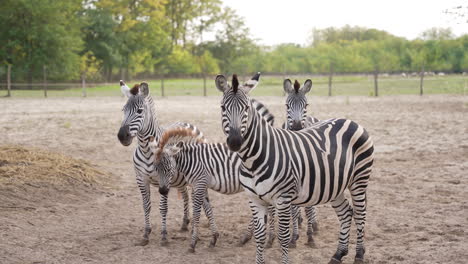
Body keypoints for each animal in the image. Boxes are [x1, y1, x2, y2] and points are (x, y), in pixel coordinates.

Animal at [116, 80, 206, 245]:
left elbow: (163, 208)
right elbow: (146, 206)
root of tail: (186, 122)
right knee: (185, 195)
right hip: (180, 179)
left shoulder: (162, 178)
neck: (146, 150)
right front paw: (146, 233)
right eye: (123, 110)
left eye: (139, 111)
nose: (122, 136)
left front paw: (164, 235)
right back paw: (185, 223)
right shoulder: (141, 179)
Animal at [215, 72, 372, 264]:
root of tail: (350, 120)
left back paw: (359, 255)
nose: (235, 141)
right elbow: (259, 236)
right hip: (336, 185)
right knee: (346, 213)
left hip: (359, 180)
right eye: (223, 107)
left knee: (360, 214)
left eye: (246, 108)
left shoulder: (283, 198)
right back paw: (338, 255)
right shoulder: (254, 200)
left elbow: (283, 236)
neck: (252, 161)